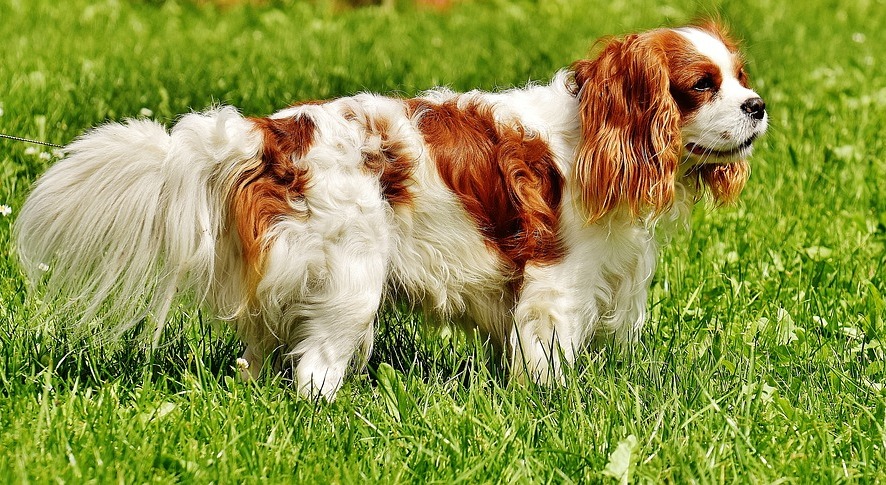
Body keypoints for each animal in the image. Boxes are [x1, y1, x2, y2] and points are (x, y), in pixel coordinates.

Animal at [13, 21, 768, 398]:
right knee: (314, 369)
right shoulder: (556, 283)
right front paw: (554, 407)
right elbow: (546, 360)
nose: (758, 105)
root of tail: (269, 136)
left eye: (740, 77)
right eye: (702, 85)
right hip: (351, 277)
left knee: (260, 360)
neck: (591, 134)